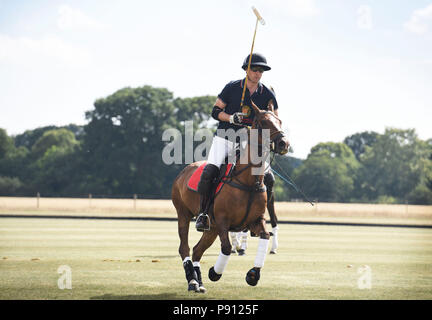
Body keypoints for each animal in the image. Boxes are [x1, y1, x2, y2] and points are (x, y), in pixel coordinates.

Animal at [170, 100, 288, 292]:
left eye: (279, 121)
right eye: (263, 122)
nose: (283, 143)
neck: (248, 181)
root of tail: (183, 172)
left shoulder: (255, 220)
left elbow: (265, 236)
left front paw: (253, 275)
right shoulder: (222, 220)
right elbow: (226, 247)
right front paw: (214, 273)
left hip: (211, 228)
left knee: (197, 250)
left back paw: (199, 282)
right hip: (184, 214)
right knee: (184, 248)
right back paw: (193, 281)